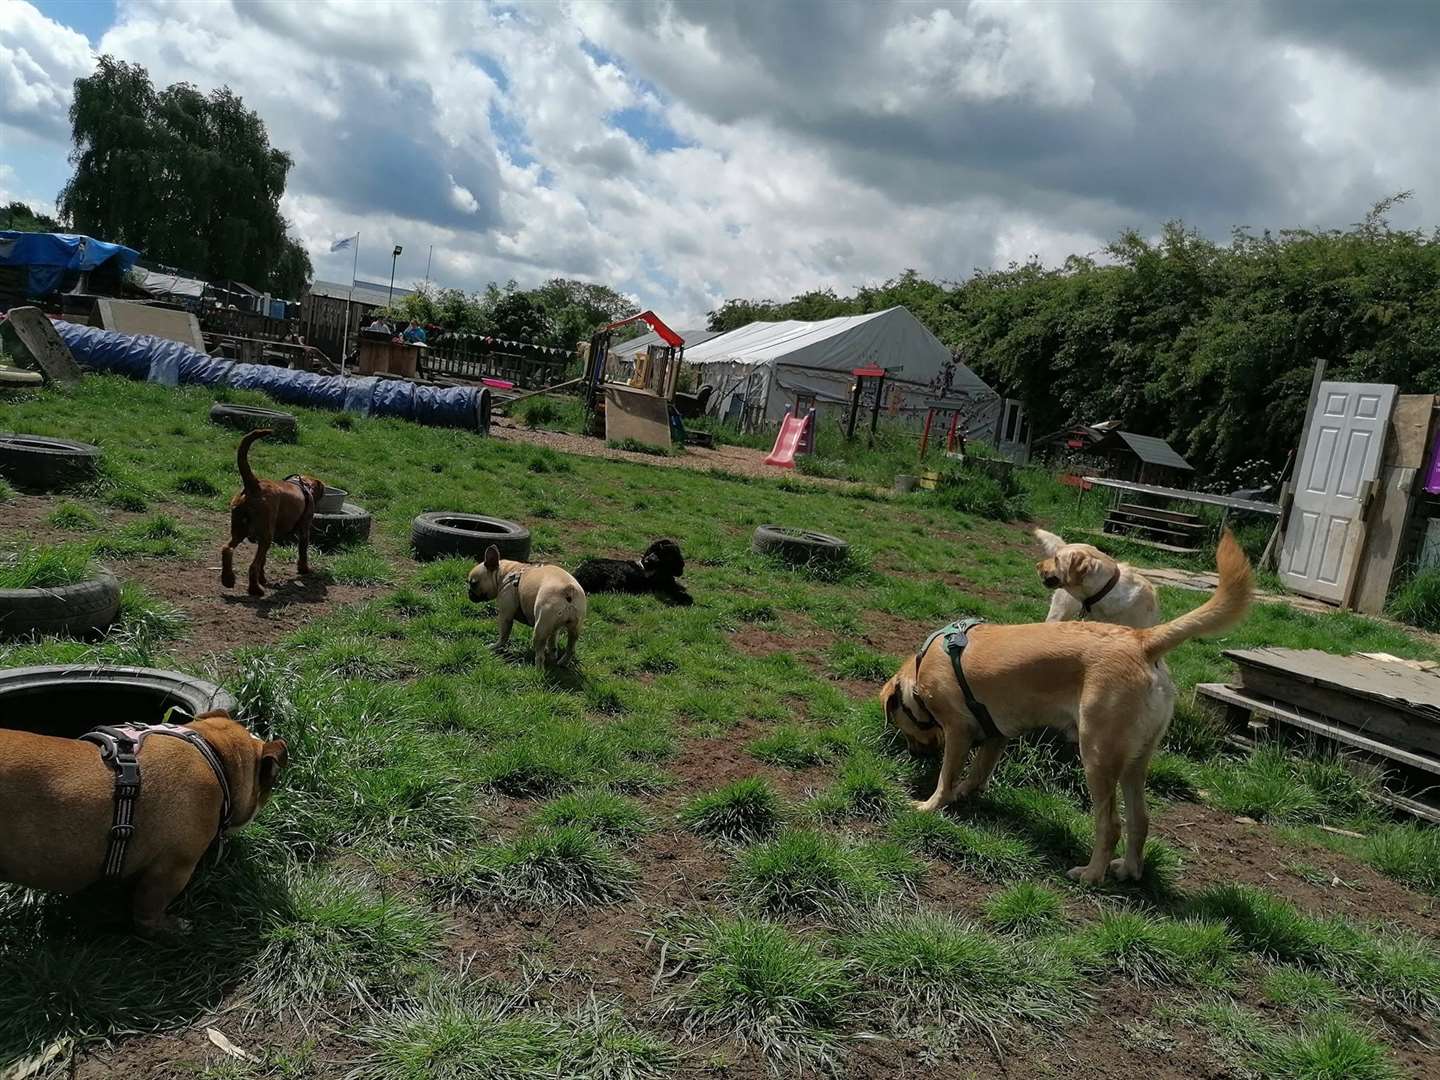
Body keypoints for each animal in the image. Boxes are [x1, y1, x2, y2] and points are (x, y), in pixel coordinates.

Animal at [875, 529, 1249, 881]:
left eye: (904, 726)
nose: (916, 754)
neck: (922, 666)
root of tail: (1143, 641)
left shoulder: (958, 730)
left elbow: (948, 775)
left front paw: (931, 804)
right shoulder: (996, 735)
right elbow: (978, 772)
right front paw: (963, 793)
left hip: (1097, 753)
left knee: (1111, 824)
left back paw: (1091, 874)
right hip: (1136, 759)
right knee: (1140, 819)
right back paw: (1127, 870)